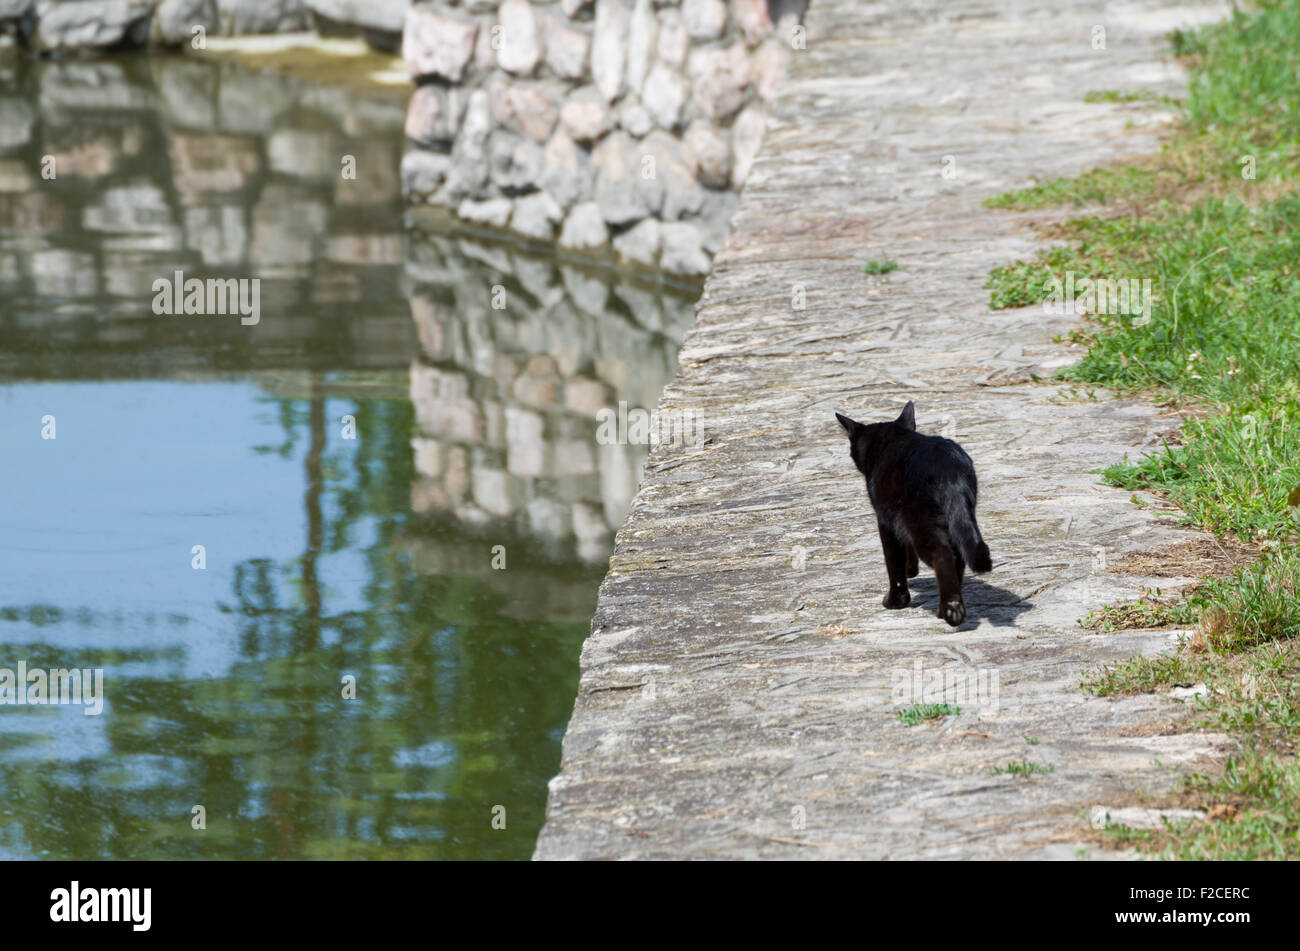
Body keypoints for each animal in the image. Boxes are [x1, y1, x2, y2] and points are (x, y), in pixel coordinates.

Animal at [837, 400, 987, 628]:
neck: (892, 439)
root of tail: (947, 468)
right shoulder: (898, 519)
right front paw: (911, 569)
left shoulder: (886, 521)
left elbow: (894, 563)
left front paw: (895, 601)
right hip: (956, 519)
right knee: (958, 557)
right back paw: (948, 606)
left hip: (921, 524)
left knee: (943, 555)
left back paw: (951, 611)